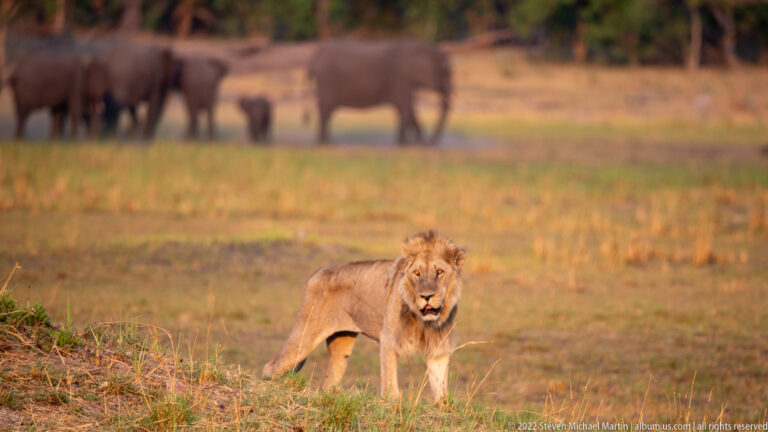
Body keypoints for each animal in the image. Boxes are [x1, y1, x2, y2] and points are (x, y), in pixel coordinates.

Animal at [262, 230, 466, 401]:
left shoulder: (439, 347)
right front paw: (393, 404)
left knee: (328, 382)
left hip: (342, 342)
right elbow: (390, 382)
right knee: (272, 366)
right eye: (417, 273)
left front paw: (443, 408)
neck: (424, 320)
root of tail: (317, 272)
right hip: (306, 334)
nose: (426, 296)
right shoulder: (388, 339)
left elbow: (440, 386)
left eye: (439, 272)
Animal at [308, 39, 451, 145]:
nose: (430, 143)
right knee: (325, 110)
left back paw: (326, 142)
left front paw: (415, 143)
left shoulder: (403, 81)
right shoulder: (399, 79)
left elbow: (409, 109)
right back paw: (325, 144)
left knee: (326, 112)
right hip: (327, 81)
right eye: (444, 72)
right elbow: (405, 107)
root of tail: (317, 56)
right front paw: (403, 144)